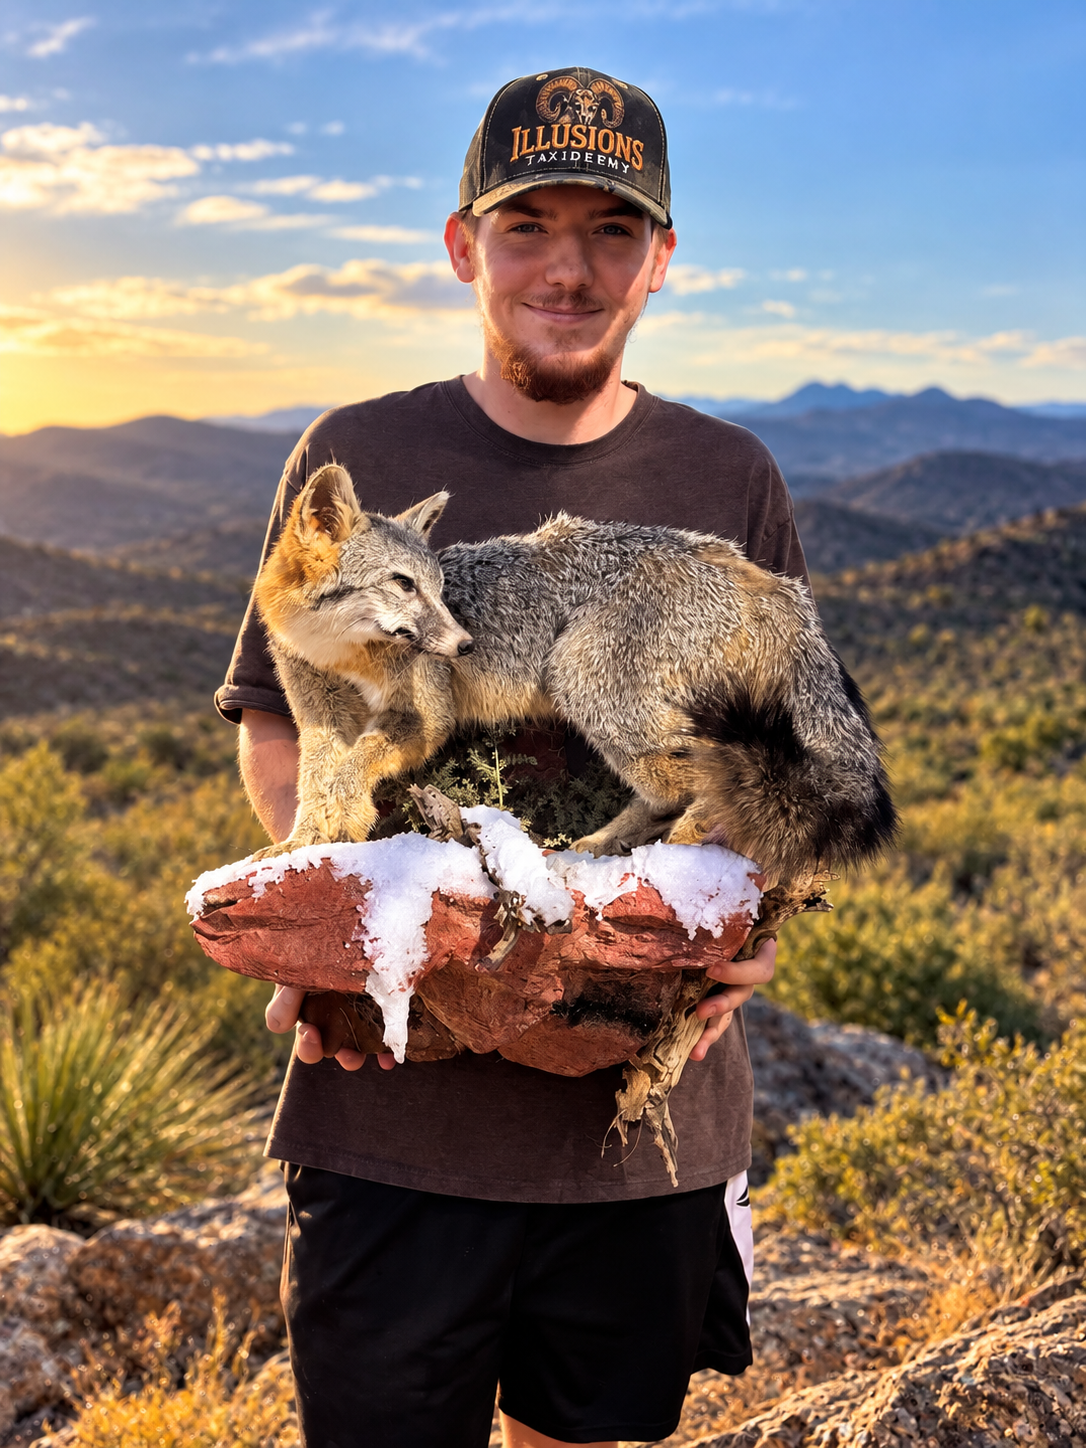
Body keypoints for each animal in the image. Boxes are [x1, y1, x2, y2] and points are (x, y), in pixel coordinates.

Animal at [252, 463, 897, 882]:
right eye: (403, 584)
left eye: (438, 588)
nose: (463, 645)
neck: (342, 652)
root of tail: (759, 574)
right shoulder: (321, 718)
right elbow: (317, 779)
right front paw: (302, 842)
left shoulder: (423, 718)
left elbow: (352, 767)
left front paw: (342, 818)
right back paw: (602, 844)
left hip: (583, 684)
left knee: (697, 782)